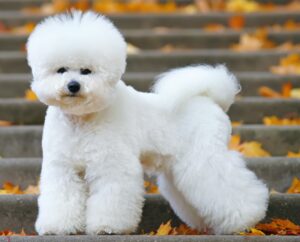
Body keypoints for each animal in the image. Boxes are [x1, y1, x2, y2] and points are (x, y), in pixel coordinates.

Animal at [26, 10, 270, 235]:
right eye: (61, 70)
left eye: (87, 71)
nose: (73, 85)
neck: (82, 119)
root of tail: (212, 100)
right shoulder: (62, 168)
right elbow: (61, 197)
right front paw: (58, 227)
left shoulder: (113, 165)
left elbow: (111, 197)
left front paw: (108, 227)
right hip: (180, 168)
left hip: (203, 157)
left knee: (228, 187)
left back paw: (246, 219)